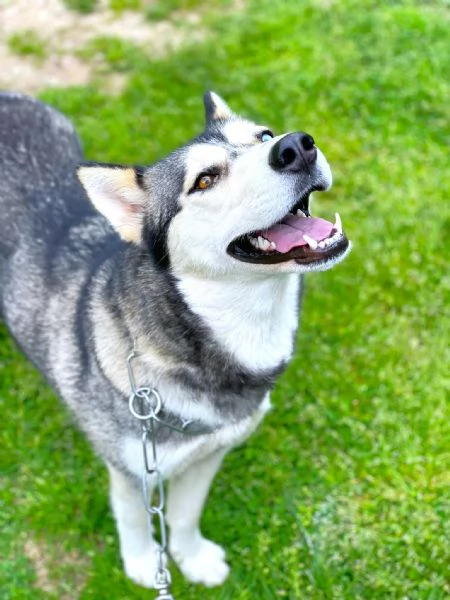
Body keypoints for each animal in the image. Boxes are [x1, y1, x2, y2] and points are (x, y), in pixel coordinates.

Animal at [0, 91, 352, 588]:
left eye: (263, 135)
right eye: (204, 180)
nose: (296, 146)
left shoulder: (209, 454)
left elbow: (184, 515)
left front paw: (192, 557)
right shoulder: (132, 469)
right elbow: (135, 520)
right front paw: (145, 565)